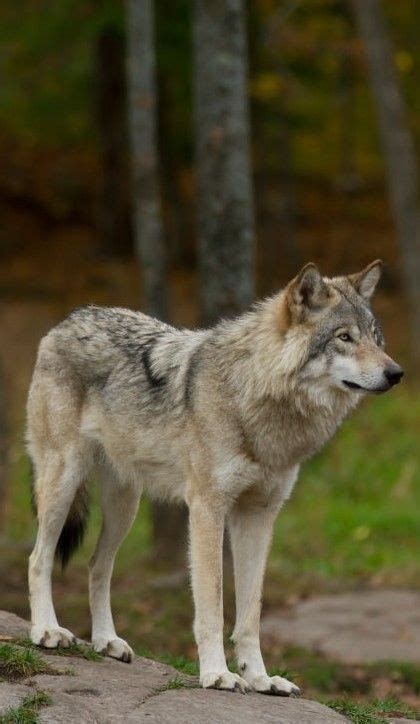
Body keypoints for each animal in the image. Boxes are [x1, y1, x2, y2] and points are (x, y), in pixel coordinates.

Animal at [27, 262, 402, 696]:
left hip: (125, 507)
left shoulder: (259, 515)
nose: (396, 373)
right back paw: (47, 630)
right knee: (39, 557)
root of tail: (69, 319)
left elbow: (251, 612)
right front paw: (217, 674)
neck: (254, 398)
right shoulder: (207, 509)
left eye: (375, 338)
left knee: (96, 565)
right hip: (63, 480)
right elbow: (212, 605)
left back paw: (107, 641)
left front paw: (260, 678)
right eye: (344, 338)